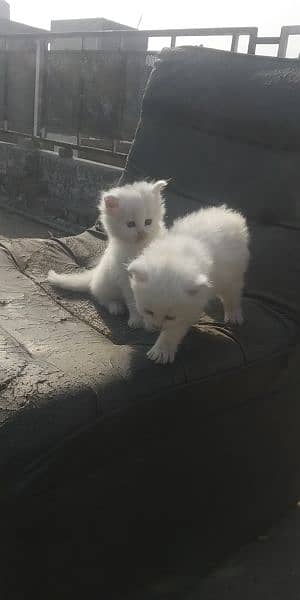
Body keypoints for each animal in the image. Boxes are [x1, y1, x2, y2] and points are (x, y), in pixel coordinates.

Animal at [48, 179, 168, 328]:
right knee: (101, 297)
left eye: (148, 222)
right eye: (130, 224)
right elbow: (133, 302)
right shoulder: (125, 279)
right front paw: (137, 320)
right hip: (105, 284)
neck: (138, 248)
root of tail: (94, 274)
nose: (141, 234)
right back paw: (115, 306)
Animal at [127, 206, 250, 364]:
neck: (173, 256)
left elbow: (173, 330)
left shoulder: (187, 310)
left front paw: (161, 350)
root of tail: (230, 215)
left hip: (233, 274)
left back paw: (233, 314)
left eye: (170, 317)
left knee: (232, 294)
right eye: (149, 311)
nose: (157, 327)